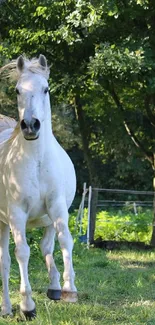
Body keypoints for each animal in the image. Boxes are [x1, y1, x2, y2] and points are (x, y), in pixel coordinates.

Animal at [0, 54, 77, 318]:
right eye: (17, 90)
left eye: (46, 89)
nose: (30, 125)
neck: (36, 161)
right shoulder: (16, 215)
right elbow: (22, 253)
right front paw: (27, 306)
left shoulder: (57, 207)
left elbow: (64, 241)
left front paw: (68, 289)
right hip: (2, 223)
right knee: (5, 262)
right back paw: (7, 308)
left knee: (46, 246)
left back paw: (54, 288)